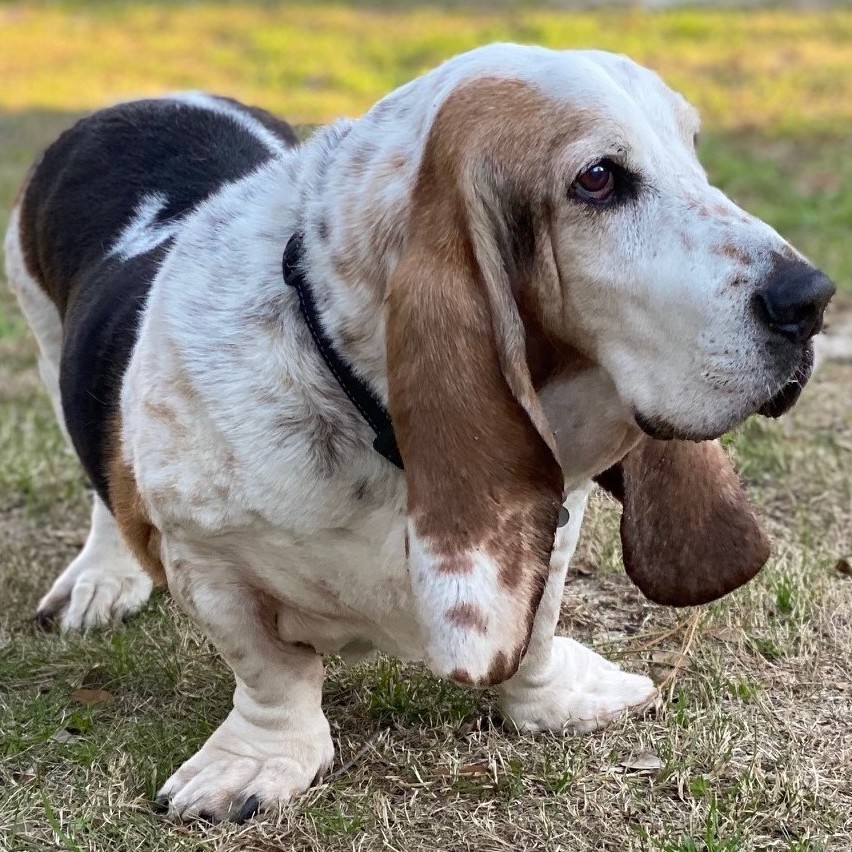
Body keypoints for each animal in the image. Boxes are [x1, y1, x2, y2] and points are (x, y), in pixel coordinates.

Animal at [5, 45, 832, 820]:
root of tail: (142, 101)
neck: (376, 428)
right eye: (597, 178)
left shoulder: (553, 520)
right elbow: (273, 671)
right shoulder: (205, 559)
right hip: (45, 341)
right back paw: (103, 576)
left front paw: (551, 697)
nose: (813, 299)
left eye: (691, 149)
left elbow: (535, 629)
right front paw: (257, 762)